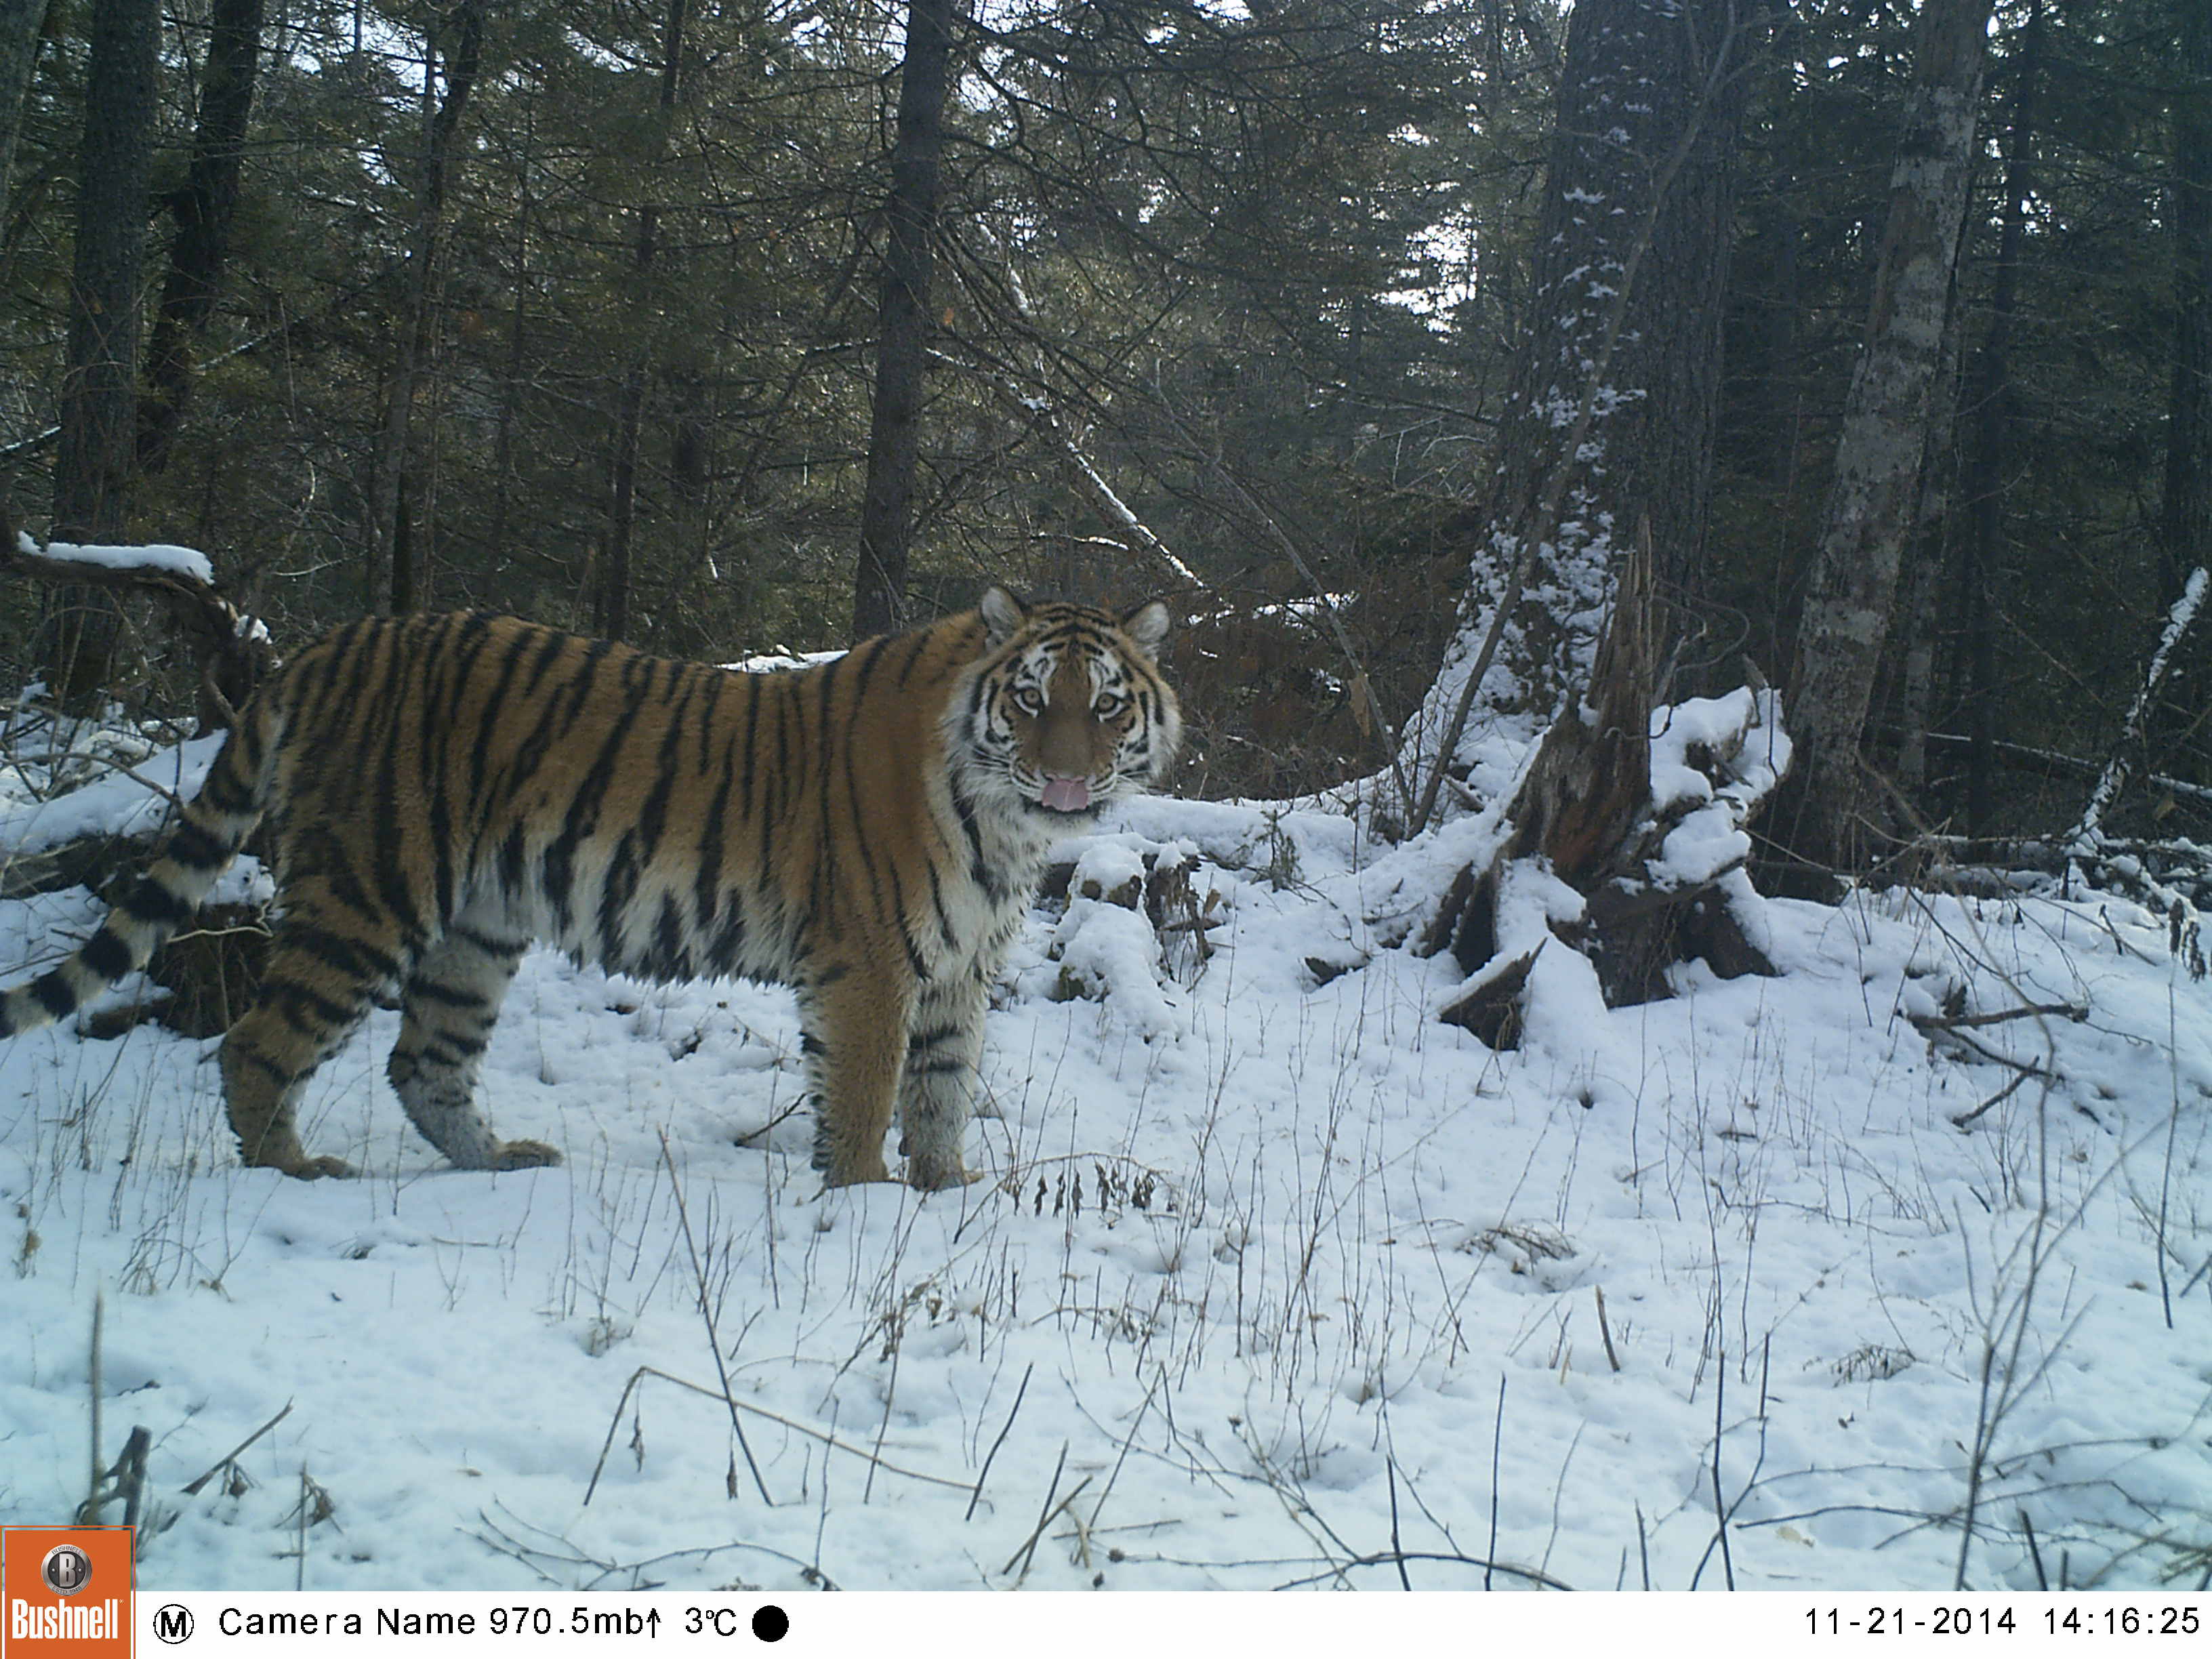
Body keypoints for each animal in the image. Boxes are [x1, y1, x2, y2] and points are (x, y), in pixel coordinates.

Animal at [0, 592, 1185, 1185]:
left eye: (1106, 705)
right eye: (1030, 700)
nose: (1069, 781)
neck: (1004, 821)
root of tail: (323, 648)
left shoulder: (954, 969)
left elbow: (939, 1092)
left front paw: (947, 1196)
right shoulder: (868, 967)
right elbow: (861, 1098)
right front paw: (862, 1206)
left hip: (475, 931)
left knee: (421, 1063)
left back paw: (499, 1163)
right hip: (367, 894)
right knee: (260, 1041)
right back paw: (295, 1172)